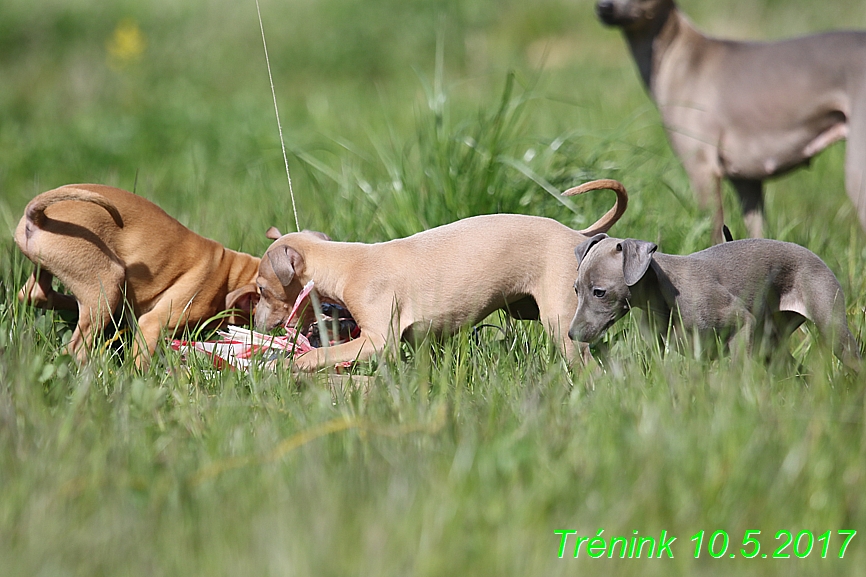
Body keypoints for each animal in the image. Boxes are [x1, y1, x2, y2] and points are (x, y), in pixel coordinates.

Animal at [15, 182, 260, 366]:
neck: (230, 274)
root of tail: (39, 216)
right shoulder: (153, 323)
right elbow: (140, 362)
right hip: (107, 282)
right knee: (75, 349)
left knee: (35, 294)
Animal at [253, 178, 624, 372]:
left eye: (261, 289)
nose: (255, 322)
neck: (346, 262)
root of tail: (577, 235)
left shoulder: (378, 339)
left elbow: (325, 353)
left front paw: (287, 364)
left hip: (561, 321)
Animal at [568, 233, 856, 368]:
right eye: (576, 290)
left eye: (599, 292)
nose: (571, 335)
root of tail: (813, 254)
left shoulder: (742, 323)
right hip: (772, 344)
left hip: (832, 327)